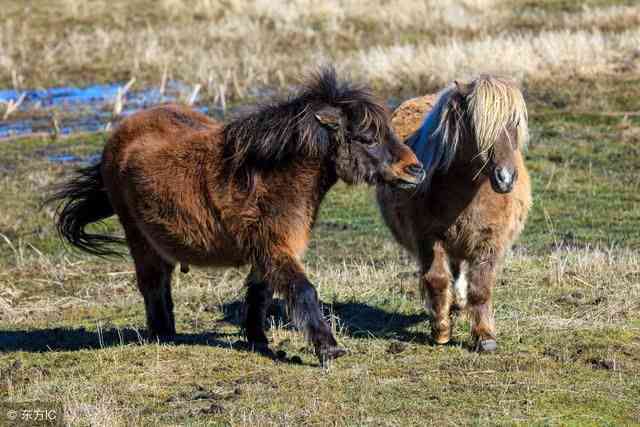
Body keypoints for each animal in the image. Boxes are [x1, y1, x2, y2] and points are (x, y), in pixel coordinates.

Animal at [46, 68, 424, 362]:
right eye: (367, 137)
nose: (416, 169)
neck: (270, 175)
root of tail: (120, 136)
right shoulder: (274, 248)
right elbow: (303, 290)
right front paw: (328, 349)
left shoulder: (266, 252)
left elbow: (260, 293)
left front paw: (258, 340)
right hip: (139, 239)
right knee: (153, 285)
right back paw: (162, 335)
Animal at [378, 75, 532, 352]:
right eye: (477, 127)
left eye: (514, 123)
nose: (505, 178)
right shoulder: (428, 237)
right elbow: (437, 279)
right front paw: (441, 330)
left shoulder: (489, 241)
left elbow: (480, 288)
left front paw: (485, 337)